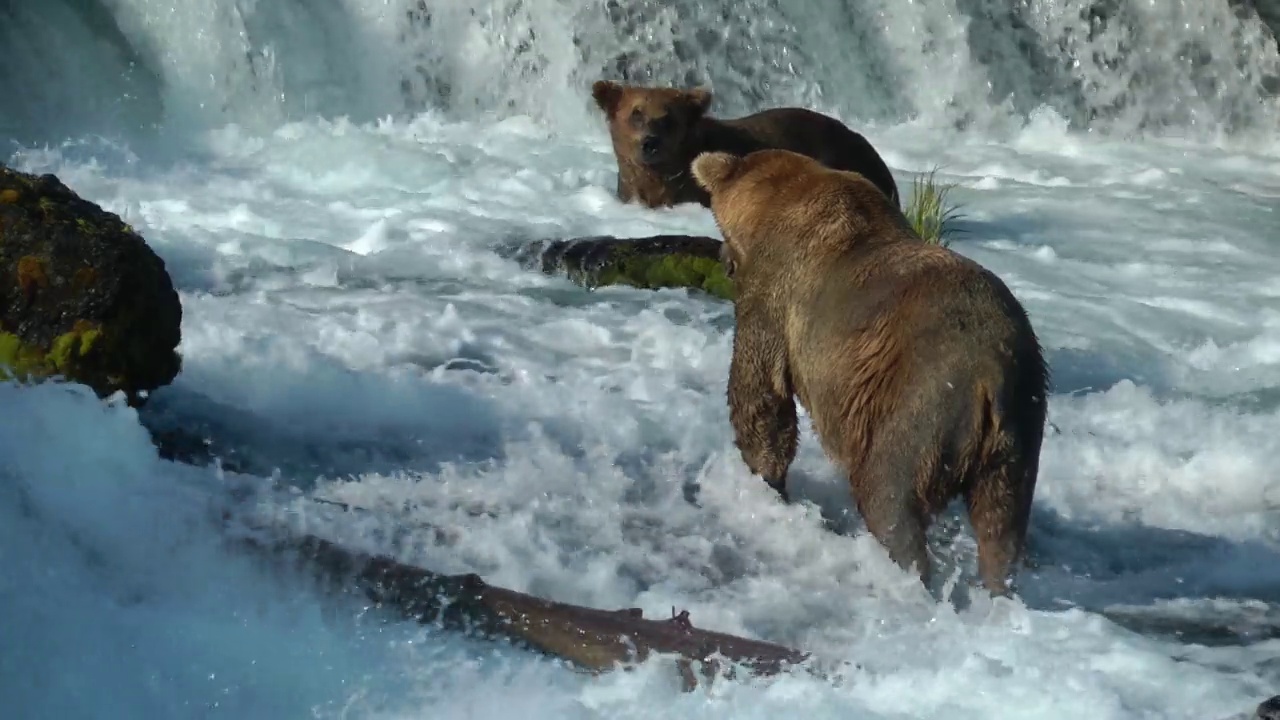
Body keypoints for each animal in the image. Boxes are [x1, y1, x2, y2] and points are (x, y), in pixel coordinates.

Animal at [691, 147, 1049, 594]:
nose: (723, 260)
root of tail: (993, 375)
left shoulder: (774, 296)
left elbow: (761, 394)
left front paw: (764, 479)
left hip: (924, 395)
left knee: (888, 492)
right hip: (1020, 430)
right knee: (1001, 526)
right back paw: (998, 587)